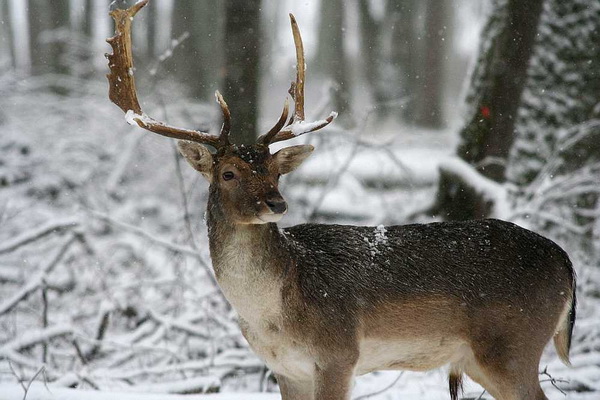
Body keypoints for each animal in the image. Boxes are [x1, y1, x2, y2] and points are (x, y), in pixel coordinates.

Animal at [106, 1, 576, 398]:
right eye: (228, 173)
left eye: (275, 171)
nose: (276, 204)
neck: (272, 316)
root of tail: (568, 267)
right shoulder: (286, 369)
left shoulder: (338, 354)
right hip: (483, 360)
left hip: (510, 346)